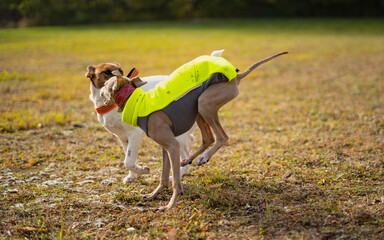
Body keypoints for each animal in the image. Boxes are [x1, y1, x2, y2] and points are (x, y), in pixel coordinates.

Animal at [100, 50, 286, 210]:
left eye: (106, 83)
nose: (100, 91)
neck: (137, 100)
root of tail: (236, 75)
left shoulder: (172, 145)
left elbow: (175, 181)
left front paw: (170, 205)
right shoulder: (166, 147)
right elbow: (164, 177)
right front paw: (154, 195)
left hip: (204, 103)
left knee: (222, 137)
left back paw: (203, 157)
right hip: (199, 110)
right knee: (208, 138)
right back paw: (190, 159)